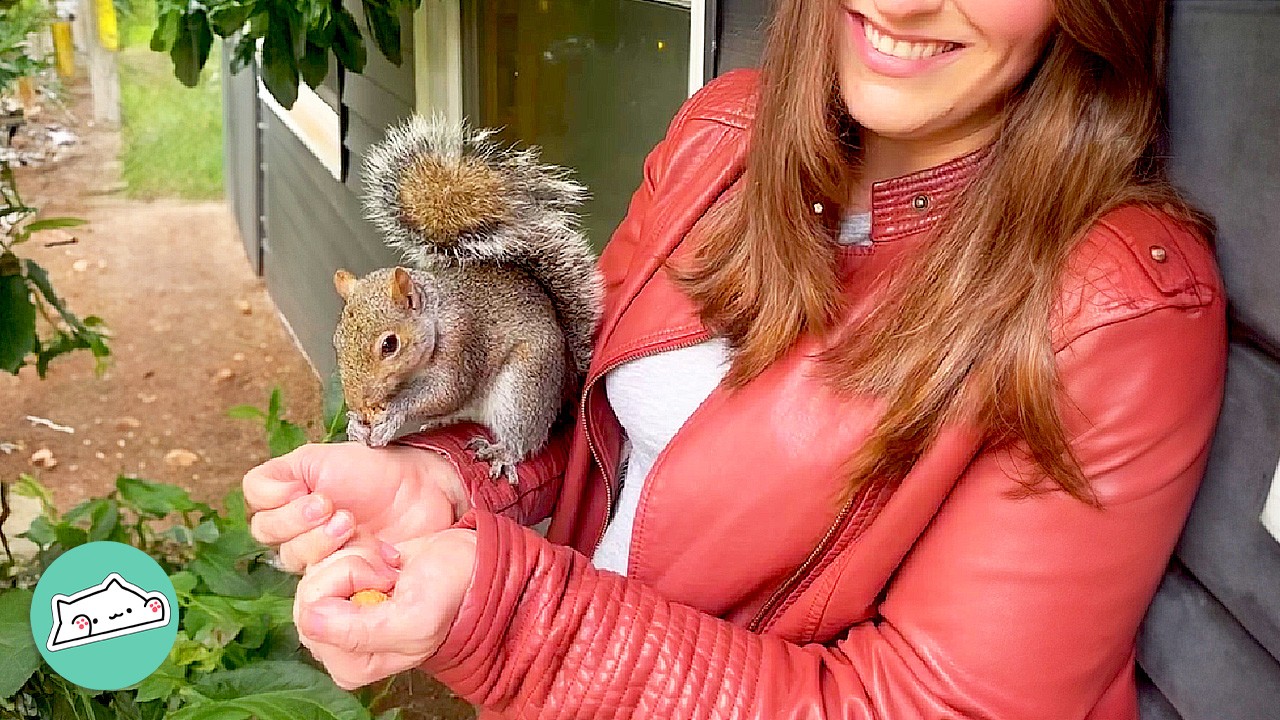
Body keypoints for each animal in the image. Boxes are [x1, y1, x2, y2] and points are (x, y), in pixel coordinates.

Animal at [331, 114, 602, 483]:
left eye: (390, 345)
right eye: (337, 342)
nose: (357, 403)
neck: (436, 318)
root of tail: (566, 382)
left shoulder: (462, 341)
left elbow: (445, 391)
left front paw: (393, 415)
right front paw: (358, 426)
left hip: (525, 384)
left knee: (524, 434)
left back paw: (503, 452)